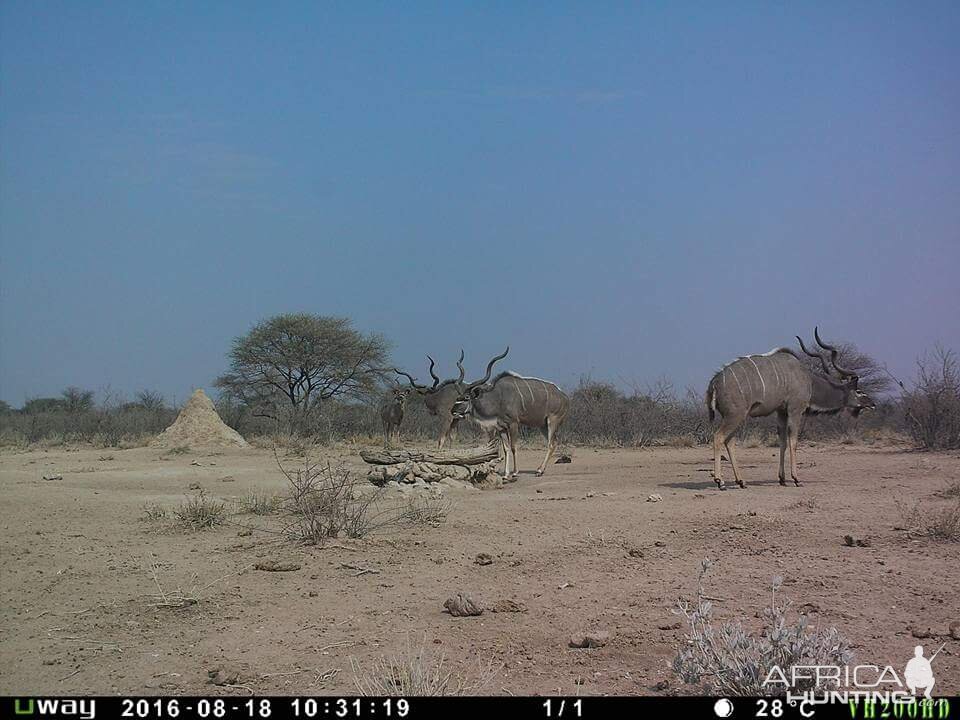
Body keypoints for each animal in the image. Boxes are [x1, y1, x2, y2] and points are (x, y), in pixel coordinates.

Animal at [452, 348, 568, 480]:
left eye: (466, 398)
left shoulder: (513, 423)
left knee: (550, 444)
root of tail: (565, 397)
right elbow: (506, 448)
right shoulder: (501, 427)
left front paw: (515, 472)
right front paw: (506, 475)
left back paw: (539, 470)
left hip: (552, 421)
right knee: (554, 442)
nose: (453, 411)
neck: (498, 398)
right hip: (542, 425)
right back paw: (540, 470)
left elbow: (513, 447)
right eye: (457, 397)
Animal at [700, 328, 872, 490]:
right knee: (718, 437)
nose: (872, 403)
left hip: (736, 417)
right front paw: (796, 479)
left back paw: (741, 481)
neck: (808, 381)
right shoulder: (795, 409)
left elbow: (782, 442)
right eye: (859, 391)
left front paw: (782, 479)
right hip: (735, 415)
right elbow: (793, 442)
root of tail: (713, 383)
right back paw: (720, 482)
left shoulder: (781, 412)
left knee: (729, 441)